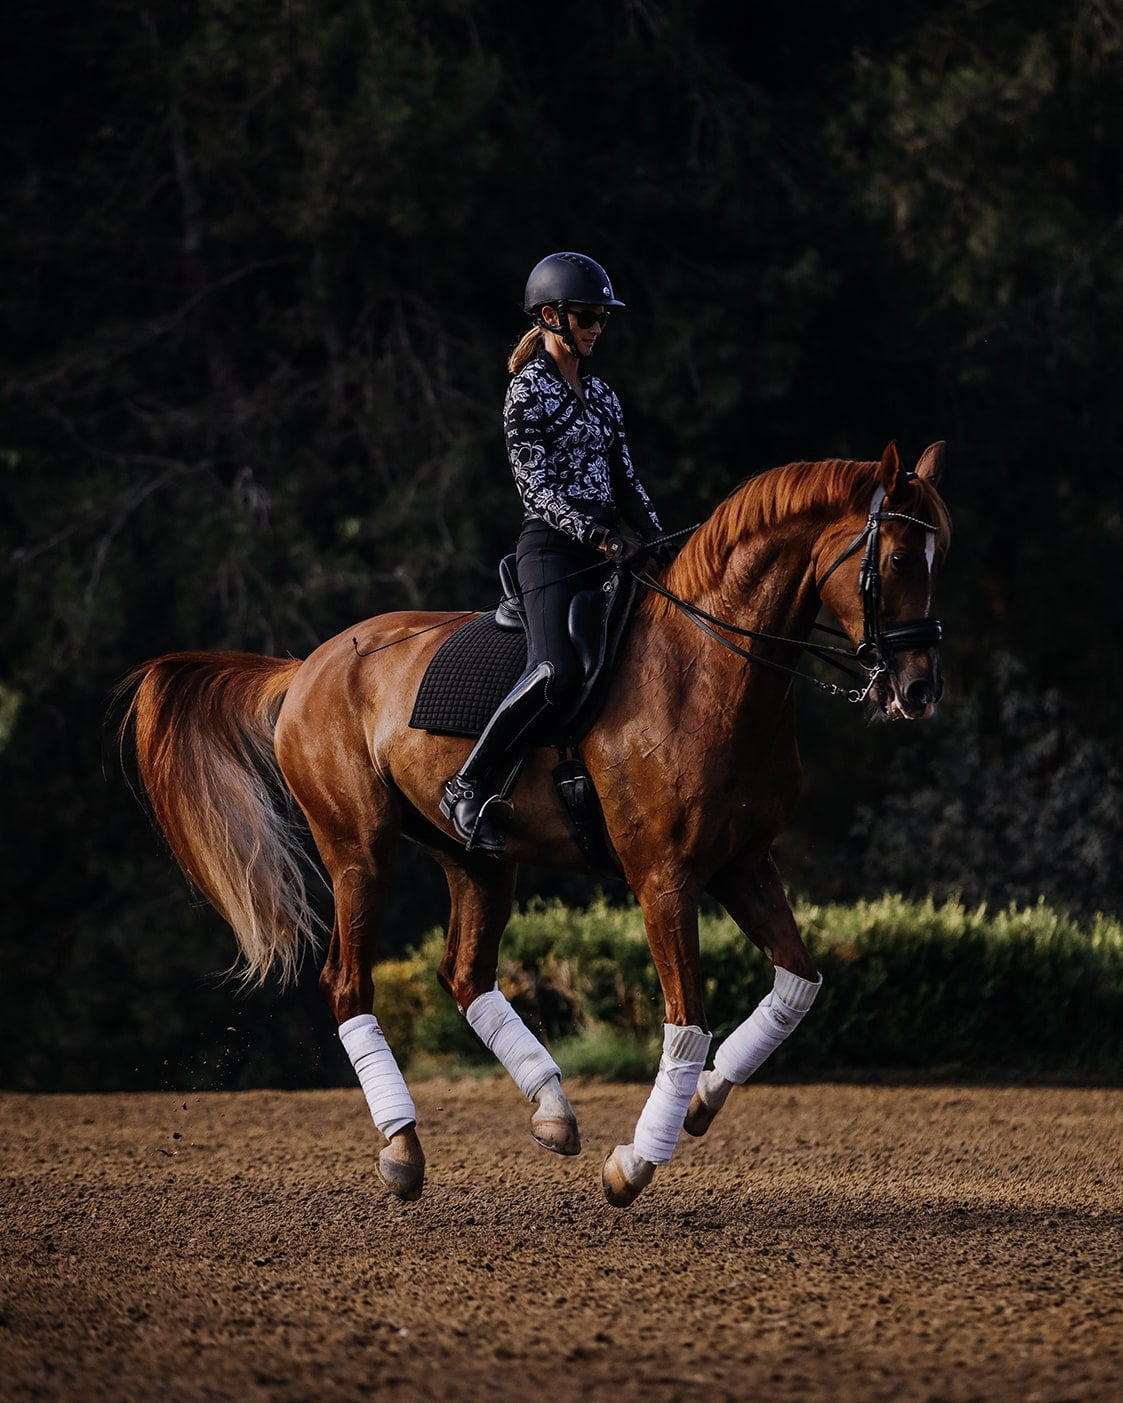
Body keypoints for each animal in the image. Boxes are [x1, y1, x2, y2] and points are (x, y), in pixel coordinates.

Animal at [119, 440, 950, 1207]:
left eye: (938, 557)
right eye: (897, 557)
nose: (918, 690)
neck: (708, 669)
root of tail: (306, 667)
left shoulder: (743, 864)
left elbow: (798, 985)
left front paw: (707, 1098)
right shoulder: (665, 877)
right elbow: (686, 1020)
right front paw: (635, 1162)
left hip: (478, 859)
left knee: (464, 973)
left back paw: (551, 1107)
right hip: (358, 850)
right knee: (348, 982)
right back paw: (403, 1149)